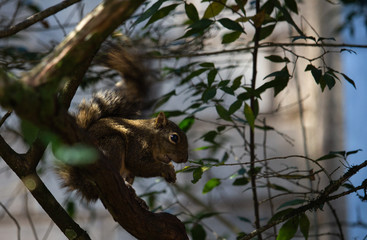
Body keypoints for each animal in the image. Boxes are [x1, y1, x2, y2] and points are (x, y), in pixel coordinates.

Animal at [58, 44, 190, 202]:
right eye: (174, 137)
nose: (184, 158)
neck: (151, 137)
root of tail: (82, 182)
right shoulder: (137, 145)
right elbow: (138, 164)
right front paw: (166, 168)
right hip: (112, 144)